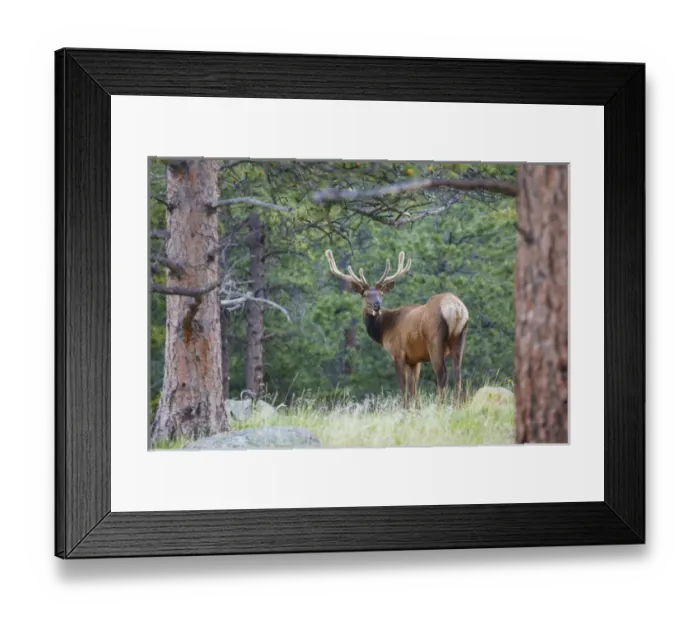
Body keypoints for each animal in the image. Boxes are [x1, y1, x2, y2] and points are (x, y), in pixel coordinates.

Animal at [325, 249, 469, 408]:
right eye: (365, 295)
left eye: (381, 294)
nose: (377, 305)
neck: (384, 330)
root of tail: (456, 309)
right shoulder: (414, 359)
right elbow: (413, 388)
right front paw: (414, 409)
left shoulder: (397, 352)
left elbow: (403, 386)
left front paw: (404, 408)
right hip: (460, 337)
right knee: (458, 374)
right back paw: (457, 405)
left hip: (435, 339)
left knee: (442, 374)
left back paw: (440, 407)